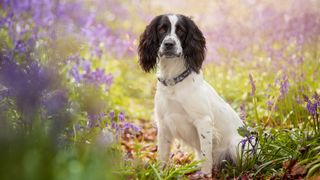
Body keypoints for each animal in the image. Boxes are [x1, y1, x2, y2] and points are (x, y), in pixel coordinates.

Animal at [136, 13, 244, 176]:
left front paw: (205, 176)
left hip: (236, 146)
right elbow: (162, 157)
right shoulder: (163, 124)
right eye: (161, 29)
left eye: (180, 30)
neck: (173, 83)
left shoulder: (203, 122)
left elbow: (206, 158)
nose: (169, 44)